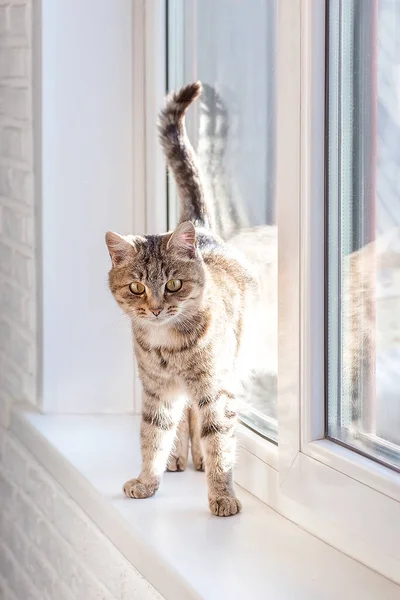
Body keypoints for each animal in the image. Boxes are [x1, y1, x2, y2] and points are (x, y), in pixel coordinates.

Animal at [104, 83, 264, 516]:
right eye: (137, 287)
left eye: (173, 284)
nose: (157, 307)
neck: (168, 346)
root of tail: (203, 229)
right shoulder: (156, 389)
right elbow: (153, 435)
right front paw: (147, 480)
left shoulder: (215, 389)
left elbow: (219, 442)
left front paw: (222, 496)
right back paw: (178, 457)